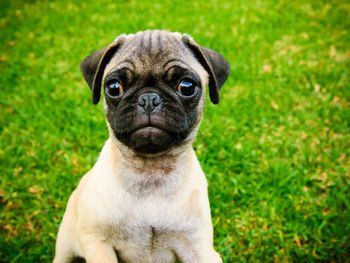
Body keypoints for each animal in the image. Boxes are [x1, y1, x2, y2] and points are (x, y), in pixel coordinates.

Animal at [54, 29, 230, 263]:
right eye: (114, 88)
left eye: (187, 87)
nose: (148, 98)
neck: (150, 171)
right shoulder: (97, 241)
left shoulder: (199, 248)